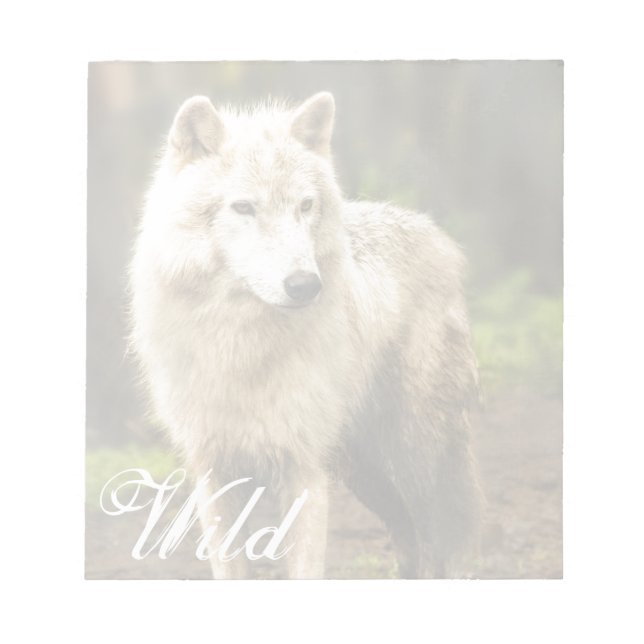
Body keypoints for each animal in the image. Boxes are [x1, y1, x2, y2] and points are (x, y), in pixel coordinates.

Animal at [129, 91, 483, 579]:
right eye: (244, 208)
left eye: (304, 206)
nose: (305, 285)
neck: (240, 346)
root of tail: (435, 234)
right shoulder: (214, 473)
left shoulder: (303, 471)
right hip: (364, 471)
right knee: (411, 542)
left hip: (419, 456)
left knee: (449, 539)